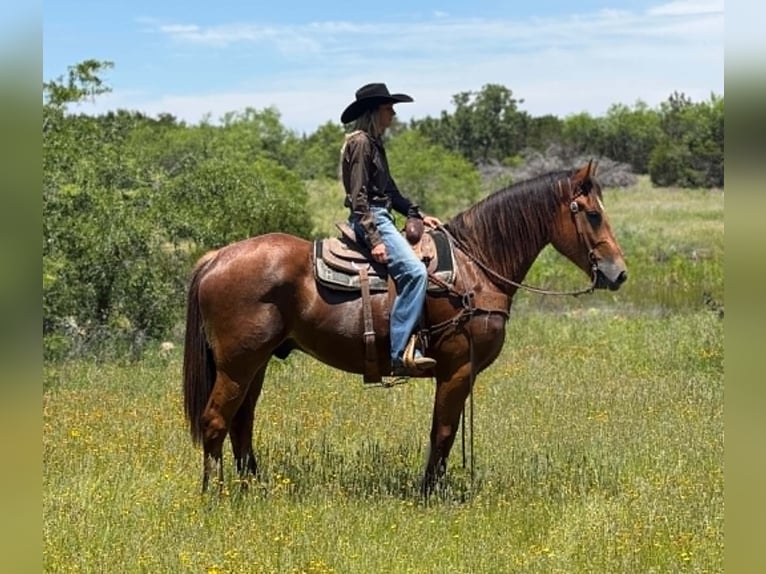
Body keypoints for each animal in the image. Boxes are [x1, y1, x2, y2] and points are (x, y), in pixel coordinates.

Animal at [182, 160, 628, 495]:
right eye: (593, 214)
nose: (618, 273)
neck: (476, 268)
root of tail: (217, 257)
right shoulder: (456, 370)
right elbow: (443, 431)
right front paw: (429, 493)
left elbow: (443, 432)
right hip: (238, 366)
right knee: (215, 421)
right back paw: (214, 496)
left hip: (255, 365)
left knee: (241, 424)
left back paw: (253, 490)